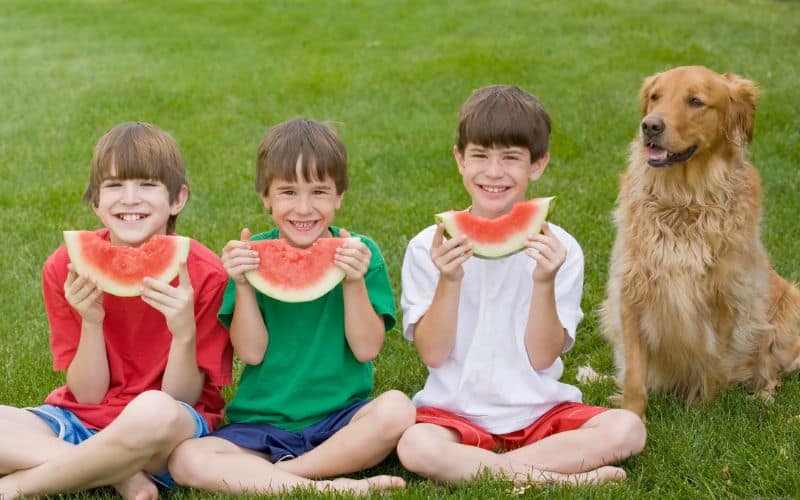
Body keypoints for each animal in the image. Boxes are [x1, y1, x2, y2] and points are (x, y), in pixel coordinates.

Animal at [600, 66, 800, 418]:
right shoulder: (630, 292)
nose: (649, 126)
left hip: (787, 307)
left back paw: (763, 397)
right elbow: (635, 373)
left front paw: (700, 410)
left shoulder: (726, 297)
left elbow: (713, 365)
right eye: (655, 96)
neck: (684, 200)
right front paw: (631, 415)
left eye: (695, 101)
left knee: (770, 369)